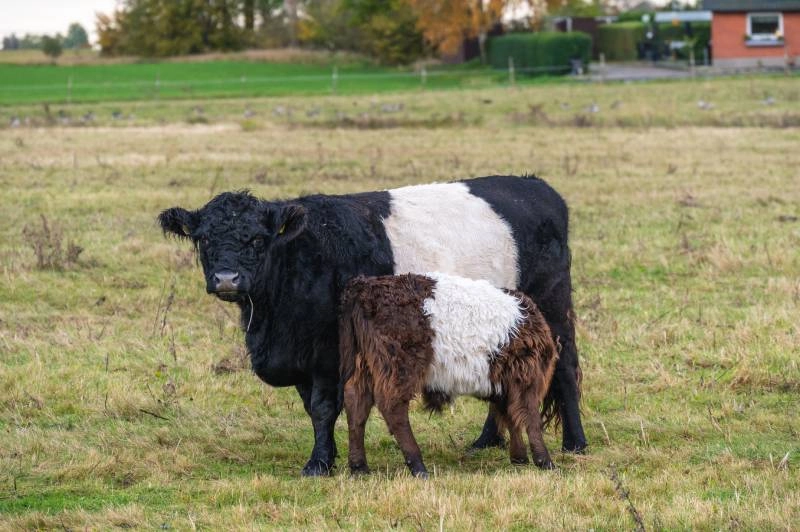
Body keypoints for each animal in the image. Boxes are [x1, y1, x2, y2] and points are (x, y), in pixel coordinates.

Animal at [159, 176, 584, 478]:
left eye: (258, 240)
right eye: (204, 239)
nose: (227, 279)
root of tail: (535, 185)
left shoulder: (329, 354)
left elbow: (324, 407)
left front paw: (318, 464)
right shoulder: (300, 357)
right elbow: (311, 408)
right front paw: (329, 457)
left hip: (551, 308)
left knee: (564, 369)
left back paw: (575, 443)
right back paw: (486, 442)